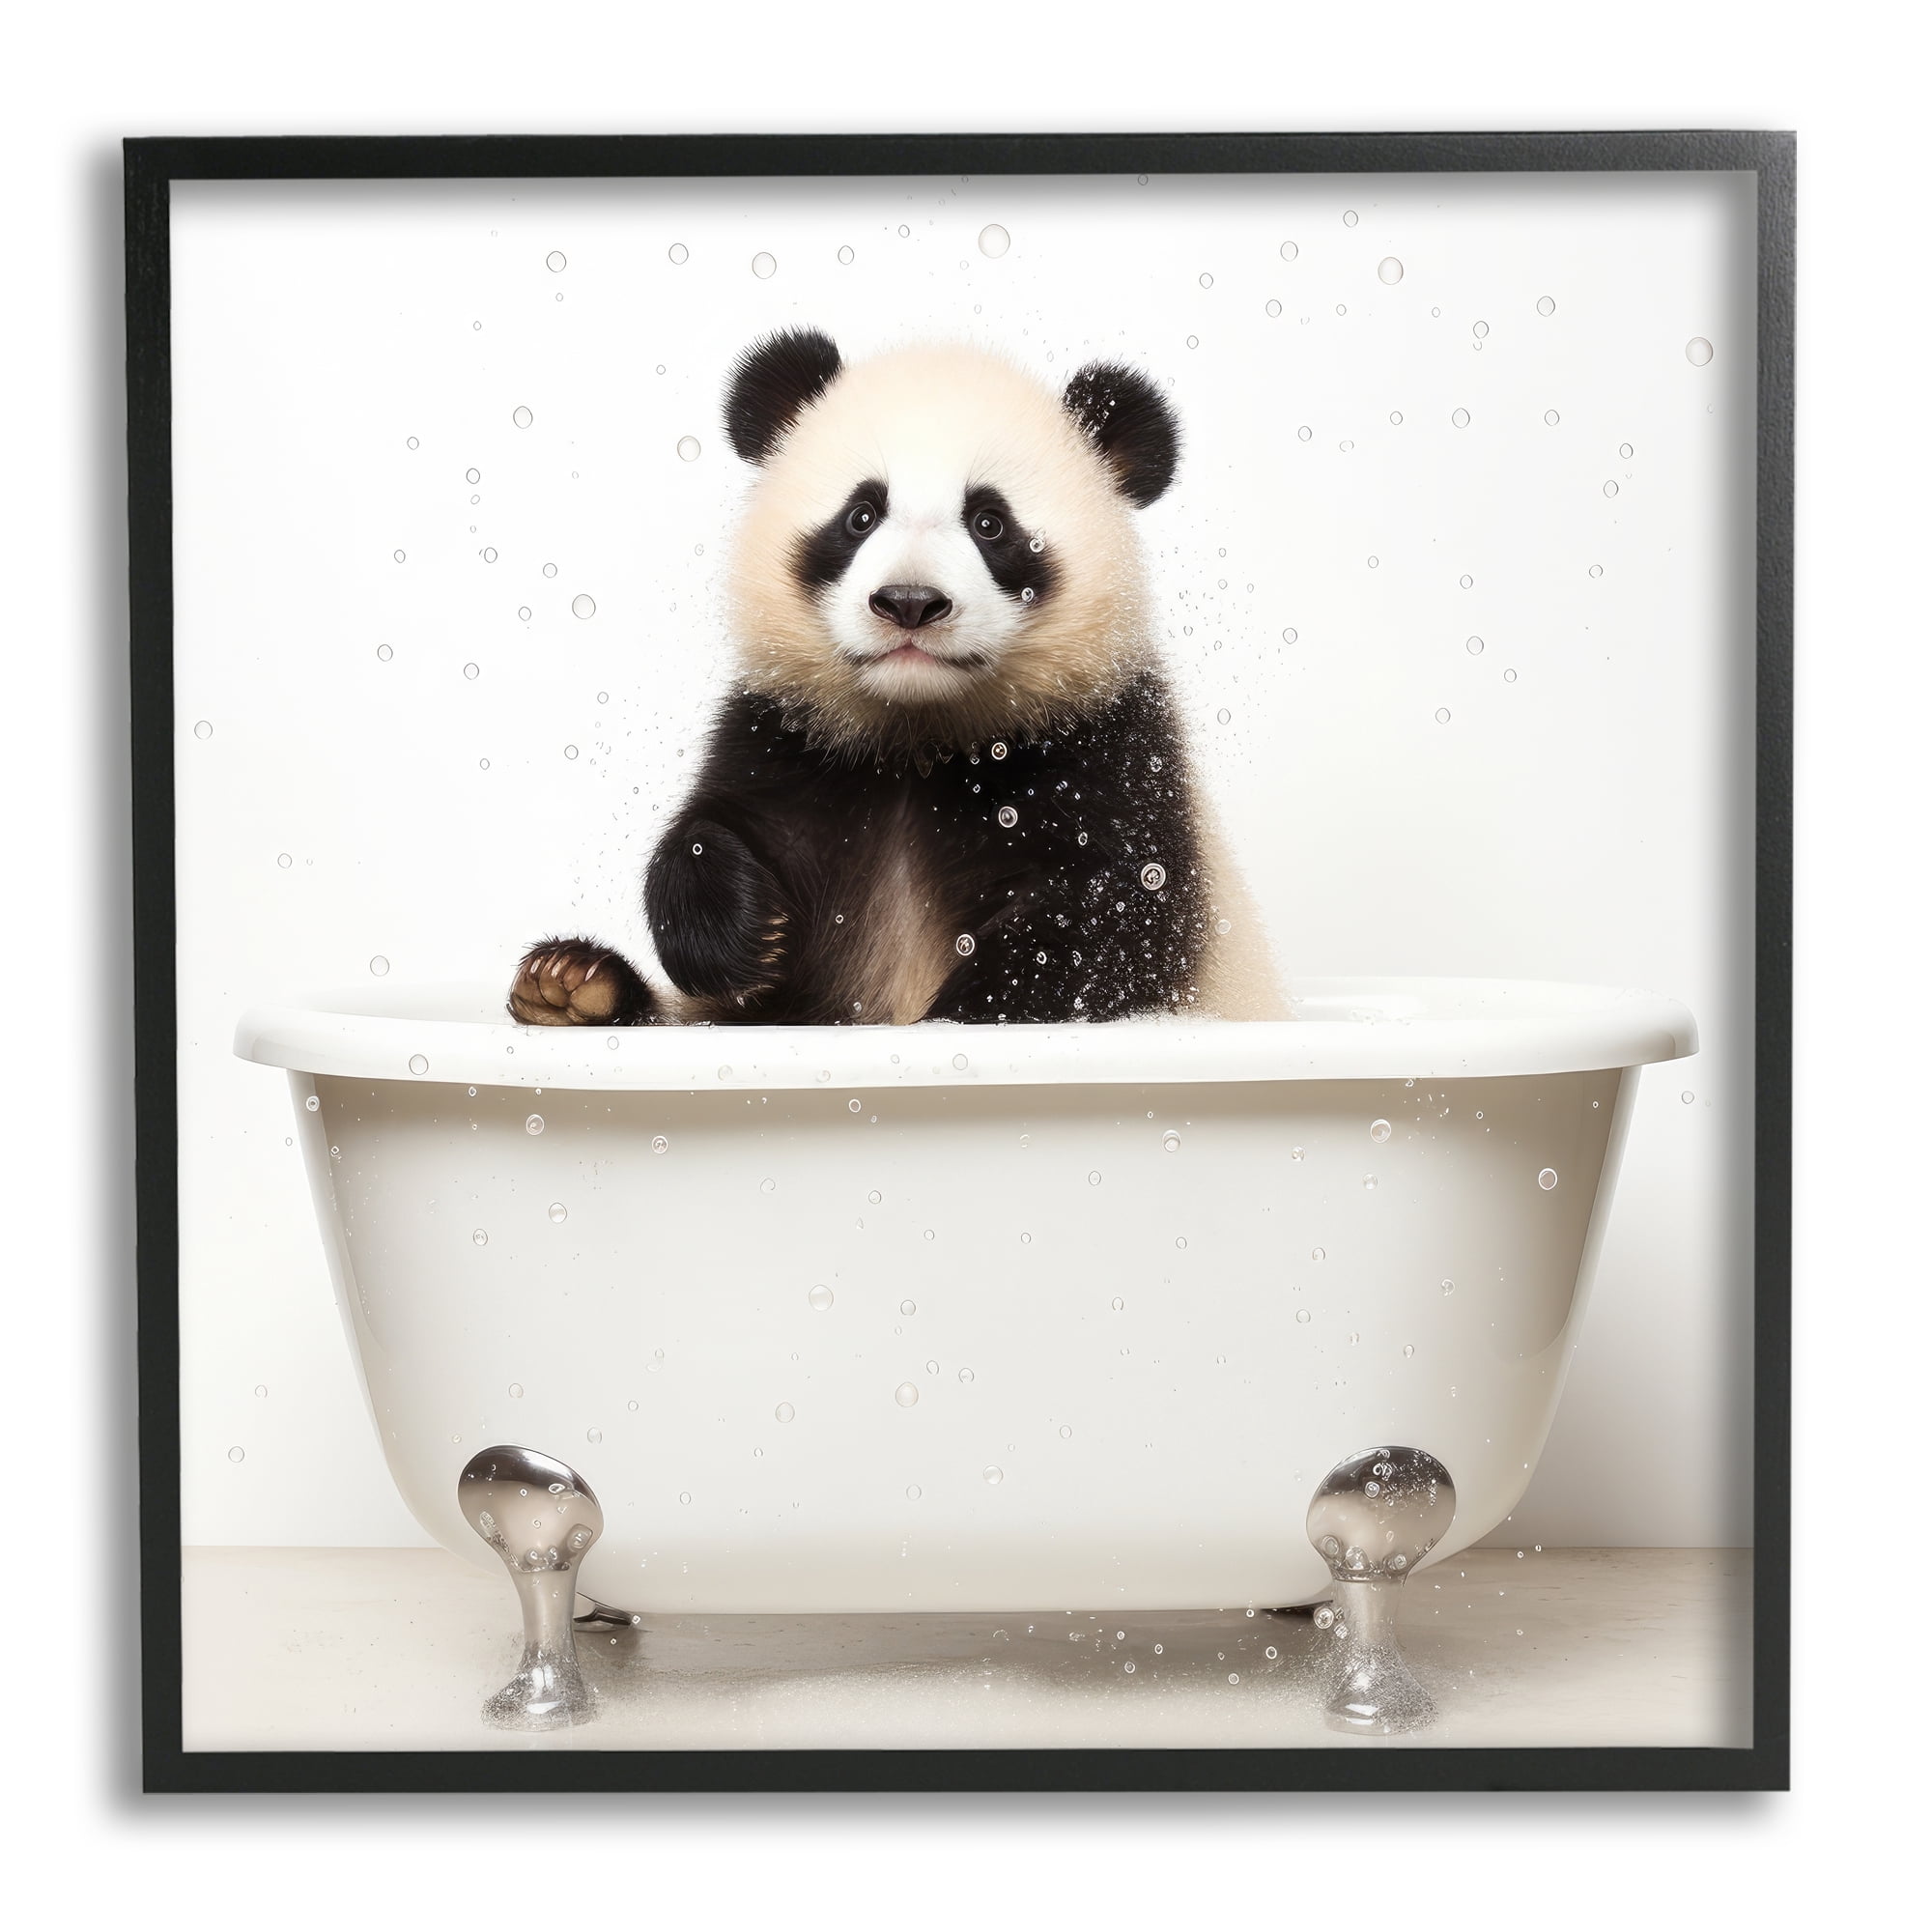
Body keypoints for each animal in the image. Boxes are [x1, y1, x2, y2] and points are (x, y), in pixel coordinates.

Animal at [507, 329, 1282, 1028]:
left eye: (990, 523)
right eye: (861, 515)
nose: (910, 602)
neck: (917, 737)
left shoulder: (1104, 747)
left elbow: (1116, 922)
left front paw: (962, 1012)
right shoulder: (790, 732)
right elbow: (714, 829)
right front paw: (747, 938)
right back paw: (571, 984)